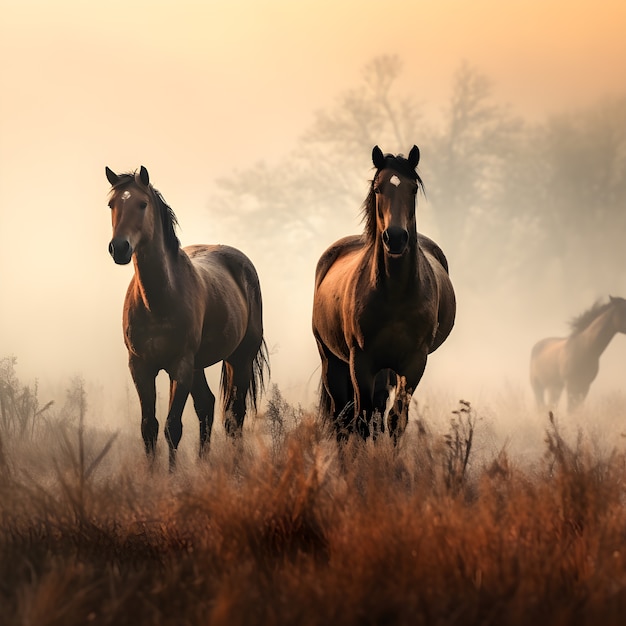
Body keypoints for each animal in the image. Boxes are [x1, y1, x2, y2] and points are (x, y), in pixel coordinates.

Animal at [104, 163, 268, 466]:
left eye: (142, 204)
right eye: (112, 204)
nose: (119, 248)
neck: (157, 302)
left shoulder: (179, 366)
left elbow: (173, 427)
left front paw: (172, 475)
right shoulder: (140, 367)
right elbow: (149, 426)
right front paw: (152, 473)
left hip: (239, 358)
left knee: (234, 416)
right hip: (198, 365)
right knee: (207, 406)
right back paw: (204, 464)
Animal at [310, 145, 454, 438]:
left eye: (413, 188)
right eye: (378, 188)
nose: (395, 237)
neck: (395, 294)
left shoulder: (414, 362)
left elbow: (395, 420)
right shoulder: (361, 362)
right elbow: (362, 421)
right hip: (332, 360)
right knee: (342, 418)